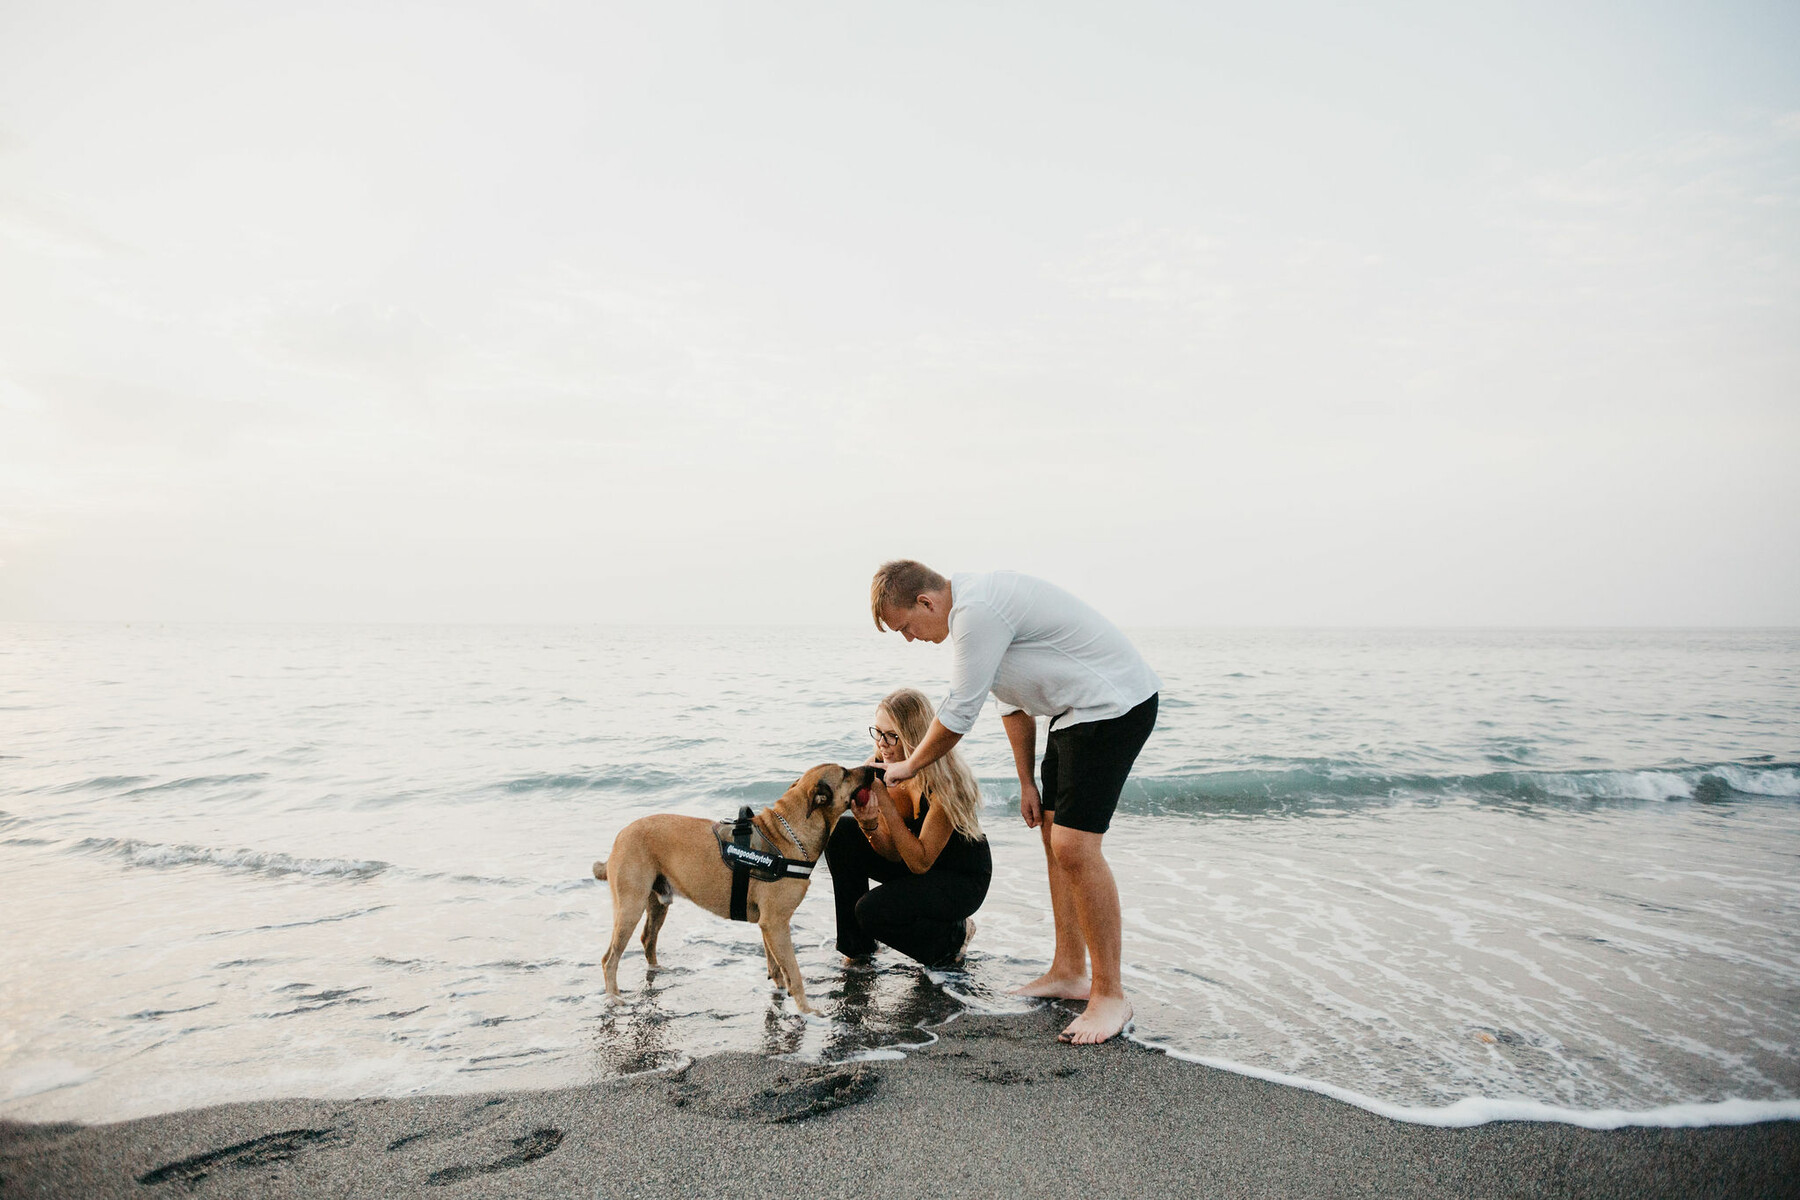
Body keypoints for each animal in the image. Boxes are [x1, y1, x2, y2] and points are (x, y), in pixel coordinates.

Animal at [594, 766, 874, 1007]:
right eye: (846, 773)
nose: (873, 769)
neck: (789, 834)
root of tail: (620, 837)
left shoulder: (768, 926)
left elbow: (776, 966)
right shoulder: (776, 923)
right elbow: (793, 971)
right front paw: (807, 1012)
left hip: (657, 903)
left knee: (647, 939)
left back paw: (656, 971)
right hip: (630, 907)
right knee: (609, 959)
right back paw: (614, 998)